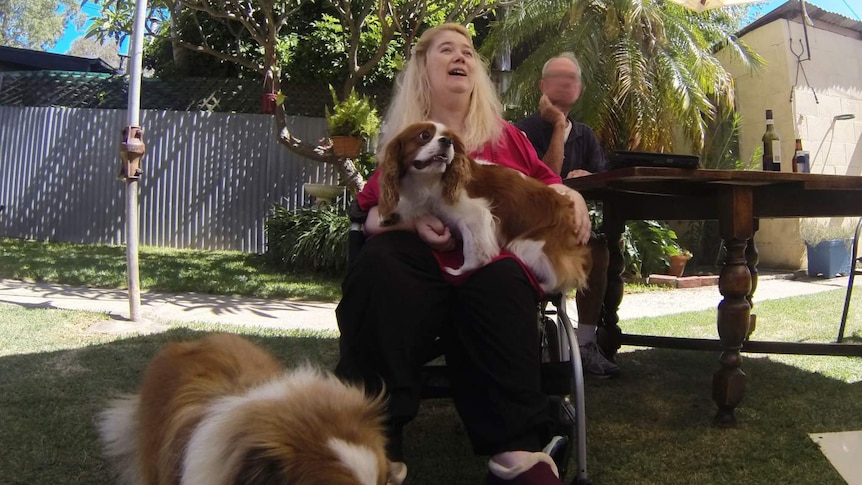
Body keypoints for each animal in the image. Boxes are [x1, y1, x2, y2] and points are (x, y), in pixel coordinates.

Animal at [380, 121, 592, 294]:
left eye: (451, 140)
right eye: (424, 135)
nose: (447, 141)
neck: (434, 180)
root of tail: (565, 204)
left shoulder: (477, 216)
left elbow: (473, 250)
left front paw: (459, 271)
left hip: (530, 246)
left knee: (565, 275)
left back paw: (543, 285)